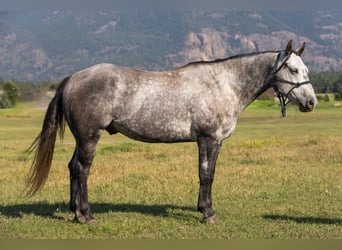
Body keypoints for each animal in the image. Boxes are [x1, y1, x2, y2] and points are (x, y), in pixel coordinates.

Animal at [27, 40, 318, 224]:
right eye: (293, 69)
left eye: (306, 70)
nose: (311, 102)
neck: (224, 84)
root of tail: (72, 78)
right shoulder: (208, 139)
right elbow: (206, 175)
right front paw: (207, 213)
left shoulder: (215, 142)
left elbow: (210, 174)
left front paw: (205, 208)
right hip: (90, 137)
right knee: (82, 170)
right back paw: (87, 215)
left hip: (82, 138)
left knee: (73, 167)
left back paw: (75, 212)